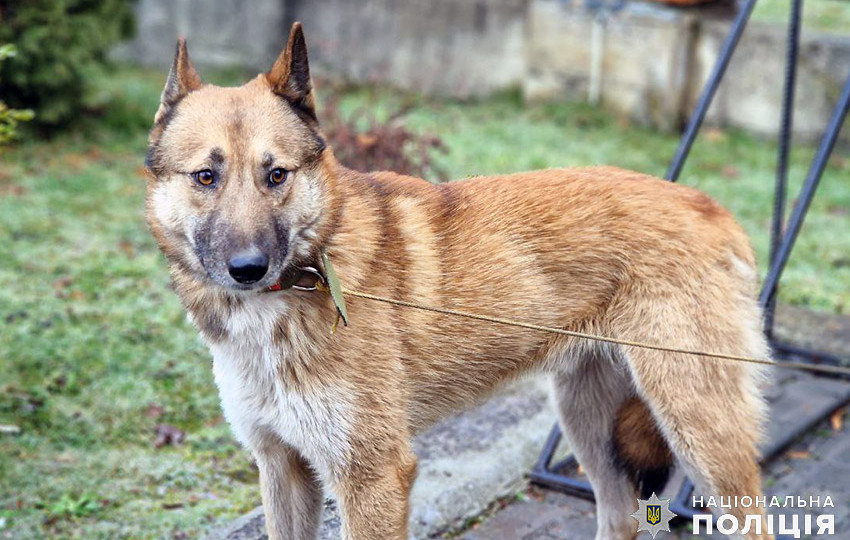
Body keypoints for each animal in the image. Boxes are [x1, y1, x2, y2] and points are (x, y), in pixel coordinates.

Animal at [144, 22, 768, 540]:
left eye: (276, 175)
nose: (248, 268)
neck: (311, 271)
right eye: (205, 177)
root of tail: (711, 206)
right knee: (619, 518)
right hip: (589, 423)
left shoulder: (373, 479)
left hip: (699, 432)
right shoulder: (282, 468)